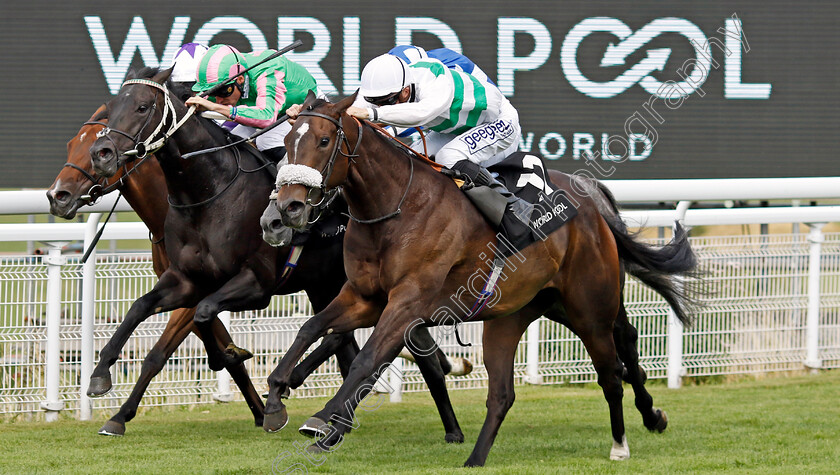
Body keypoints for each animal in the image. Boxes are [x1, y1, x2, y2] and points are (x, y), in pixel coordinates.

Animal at [86, 69, 472, 444]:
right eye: (112, 105)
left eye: (142, 107)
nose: (101, 152)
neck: (209, 193)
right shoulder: (186, 279)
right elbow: (142, 309)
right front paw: (101, 378)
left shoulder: (257, 284)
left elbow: (204, 312)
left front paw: (232, 361)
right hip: (332, 286)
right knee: (347, 341)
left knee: (403, 351)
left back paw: (447, 428)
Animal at [266, 94, 700, 468]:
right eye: (286, 141)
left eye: (324, 141)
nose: (286, 209)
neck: (396, 209)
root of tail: (593, 208)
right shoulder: (364, 297)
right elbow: (311, 329)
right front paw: (276, 398)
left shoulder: (407, 302)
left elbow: (367, 360)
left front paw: (326, 420)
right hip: (524, 312)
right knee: (506, 392)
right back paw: (478, 458)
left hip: (590, 309)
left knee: (612, 370)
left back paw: (623, 443)